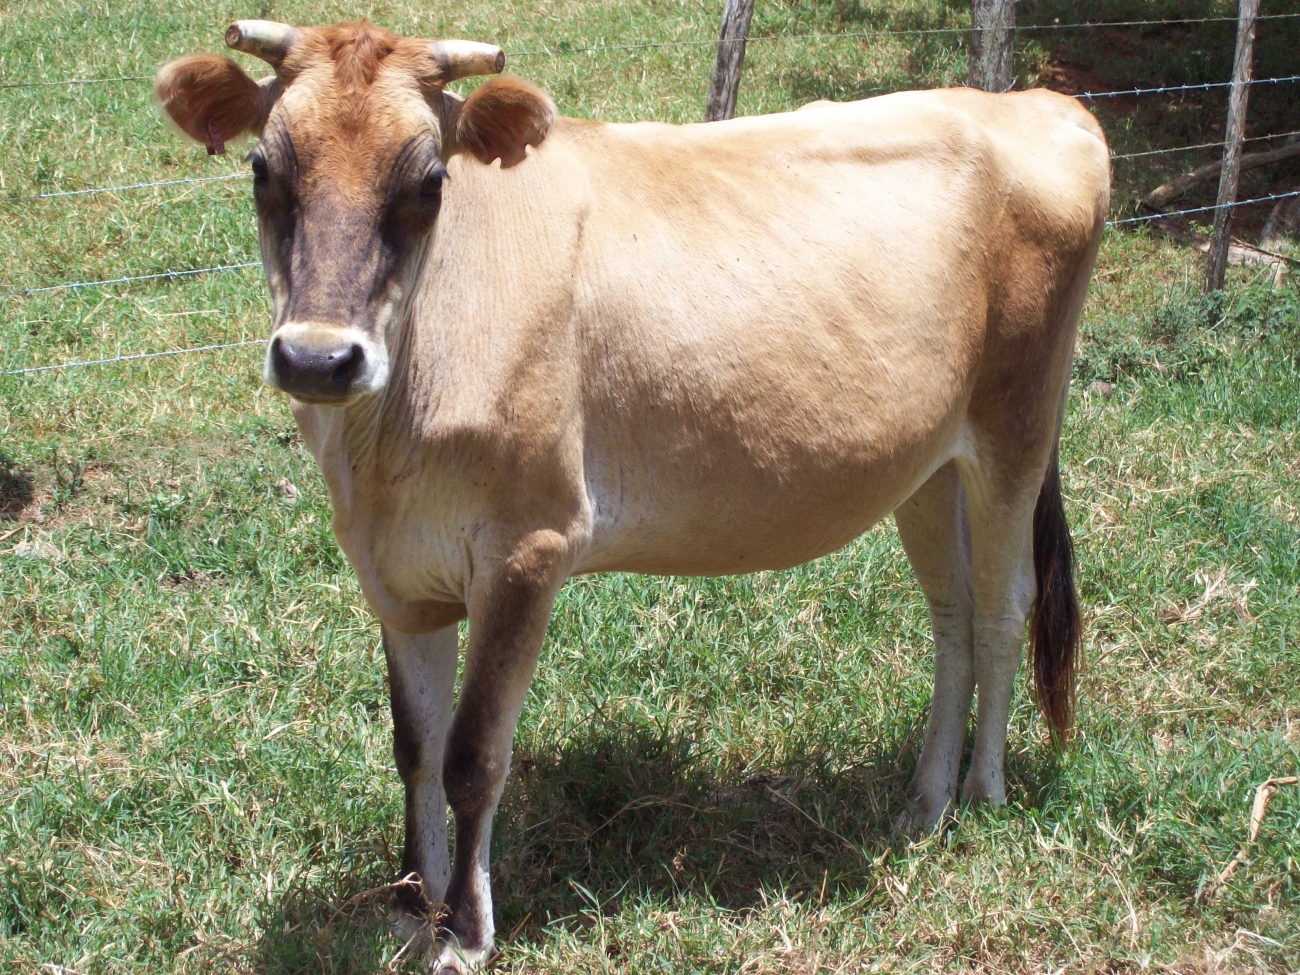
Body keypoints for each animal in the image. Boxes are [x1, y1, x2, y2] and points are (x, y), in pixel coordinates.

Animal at [156, 19, 1109, 971]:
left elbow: (472, 755)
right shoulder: (396, 571)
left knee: (1002, 606)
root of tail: (1037, 104)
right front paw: (409, 904)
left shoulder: (528, 546)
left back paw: (981, 795)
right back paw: (923, 800)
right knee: (951, 611)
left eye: (429, 179)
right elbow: (414, 746)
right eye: (262, 168)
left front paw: (464, 929)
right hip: (929, 463)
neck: (380, 444)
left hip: (1017, 422)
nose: (318, 358)